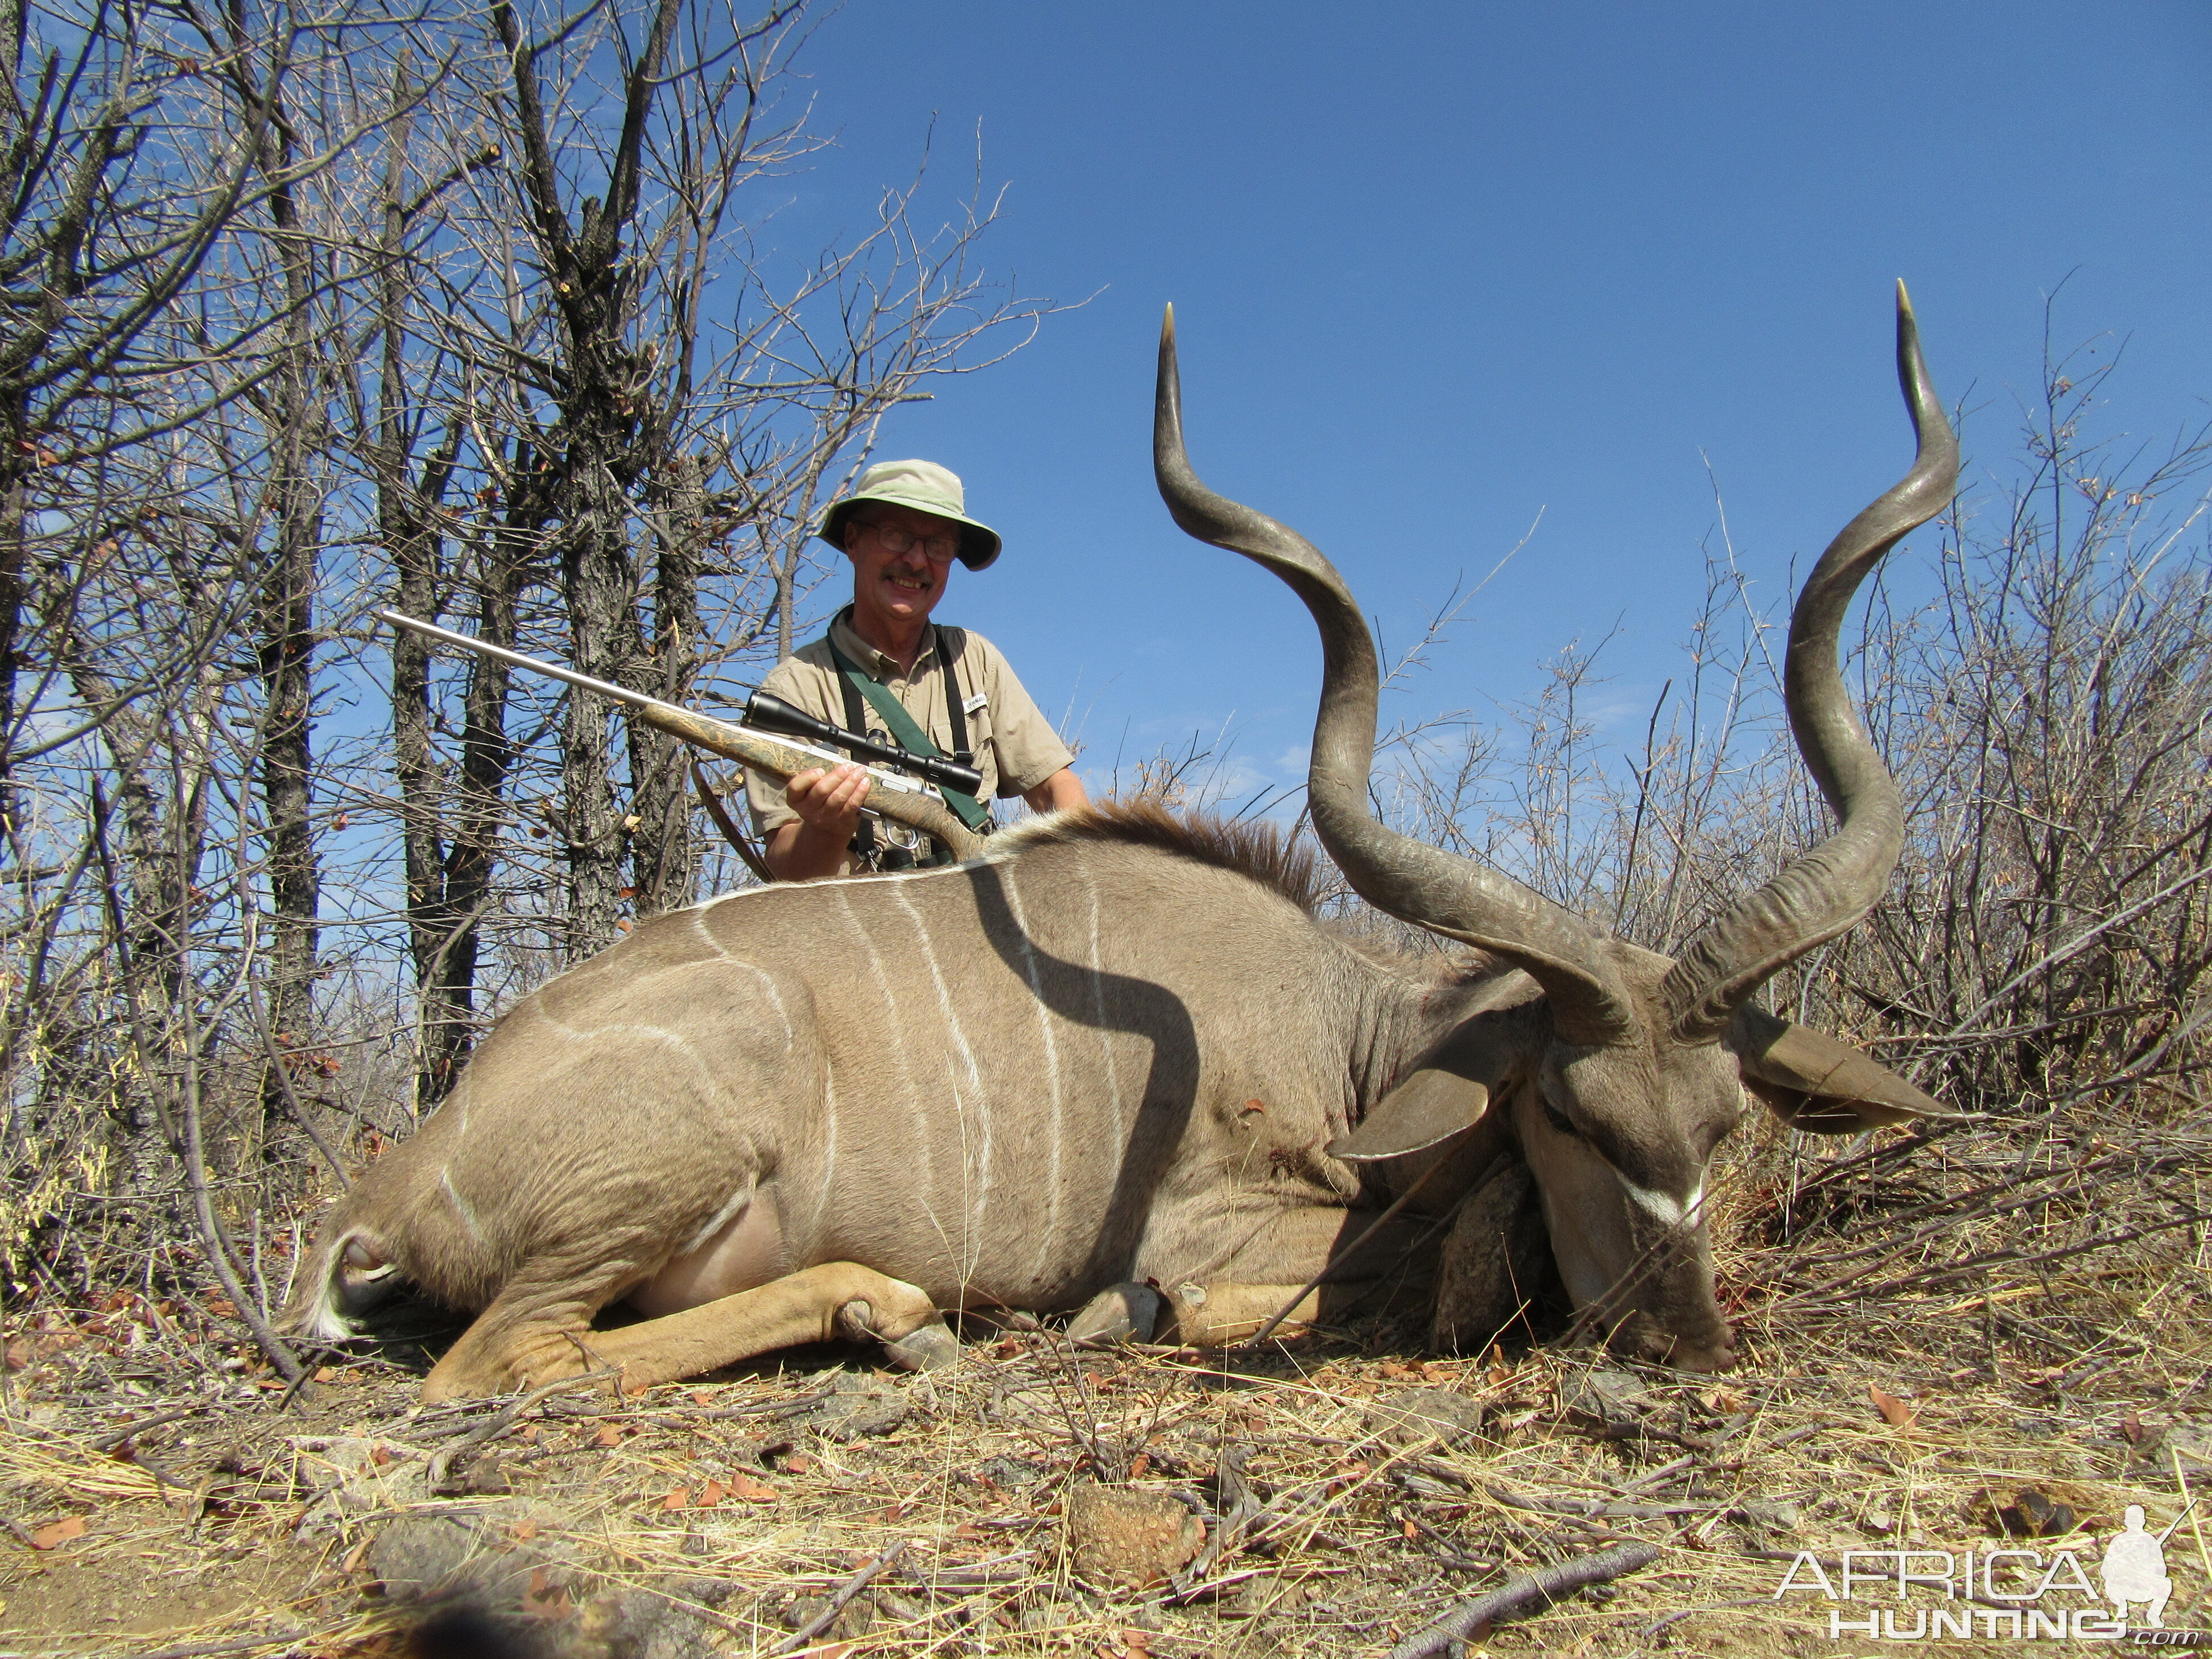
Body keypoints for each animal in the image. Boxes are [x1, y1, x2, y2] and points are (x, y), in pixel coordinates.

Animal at [285, 290, 1964, 1406]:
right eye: (1567, 1110)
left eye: (1724, 1119)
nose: (1682, 1340)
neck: (1348, 1030)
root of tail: (400, 1179)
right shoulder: (1214, 1224)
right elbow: (1278, 1286)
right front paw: (1112, 1320)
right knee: (502, 1357)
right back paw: (897, 1311)